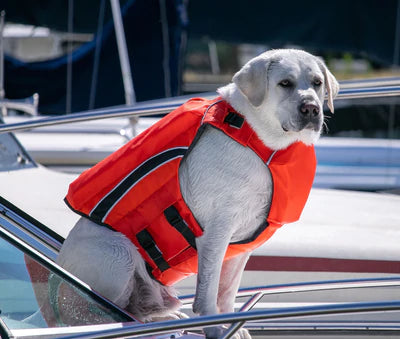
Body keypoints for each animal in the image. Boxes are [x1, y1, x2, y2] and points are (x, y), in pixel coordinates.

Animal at [57, 49, 338, 338]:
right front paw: (214, 329)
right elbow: (207, 296)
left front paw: (232, 325)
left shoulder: (242, 245)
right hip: (118, 254)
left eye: (317, 82)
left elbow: (227, 293)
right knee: (92, 311)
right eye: (285, 83)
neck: (260, 142)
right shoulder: (215, 232)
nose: (311, 108)